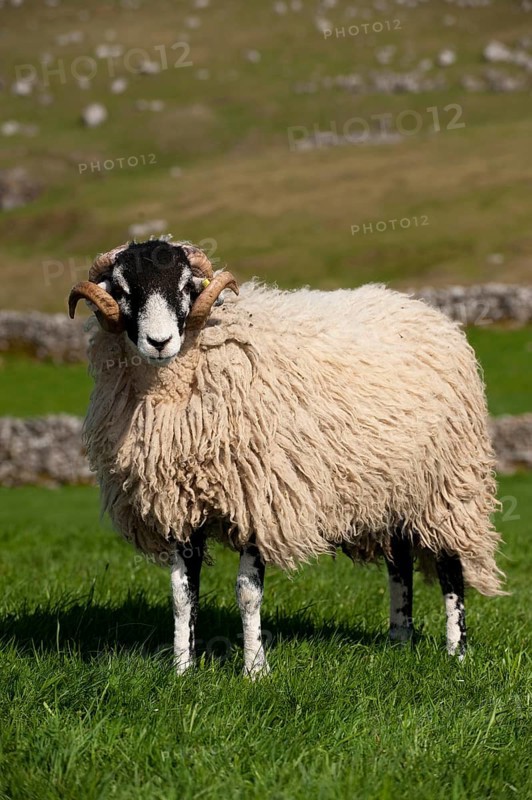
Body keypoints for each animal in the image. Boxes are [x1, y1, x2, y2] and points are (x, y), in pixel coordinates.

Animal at [69, 237, 505, 676]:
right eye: (123, 289)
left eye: (186, 286)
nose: (159, 342)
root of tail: (426, 311)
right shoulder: (179, 504)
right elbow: (181, 594)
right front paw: (181, 669)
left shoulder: (258, 498)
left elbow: (247, 592)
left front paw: (254, 670)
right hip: (394, 488)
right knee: (399, 562)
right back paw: (399, 639)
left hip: (447, 484)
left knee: (451, 567)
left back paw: (456, 651)